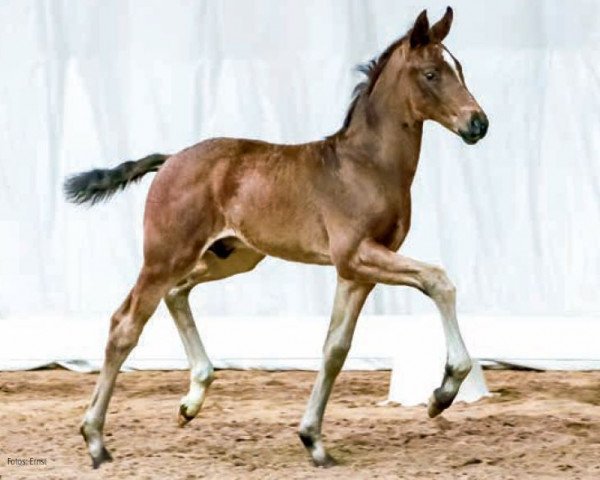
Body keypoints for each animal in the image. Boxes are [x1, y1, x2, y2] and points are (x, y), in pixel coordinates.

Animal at [67, 6, 488, 464]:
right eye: (431, 73)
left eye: (460, 68)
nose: (478, 123)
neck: (366, 166)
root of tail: (171, 159)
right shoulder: (356, 255)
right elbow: (438, 280)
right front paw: (442, 393)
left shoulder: (356, 272)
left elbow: (335, 348)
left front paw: (313, 440)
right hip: (166, 255)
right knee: (125, 324)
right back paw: (96, 440)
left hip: (230, 256)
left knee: (177, 293)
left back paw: (193, 398)